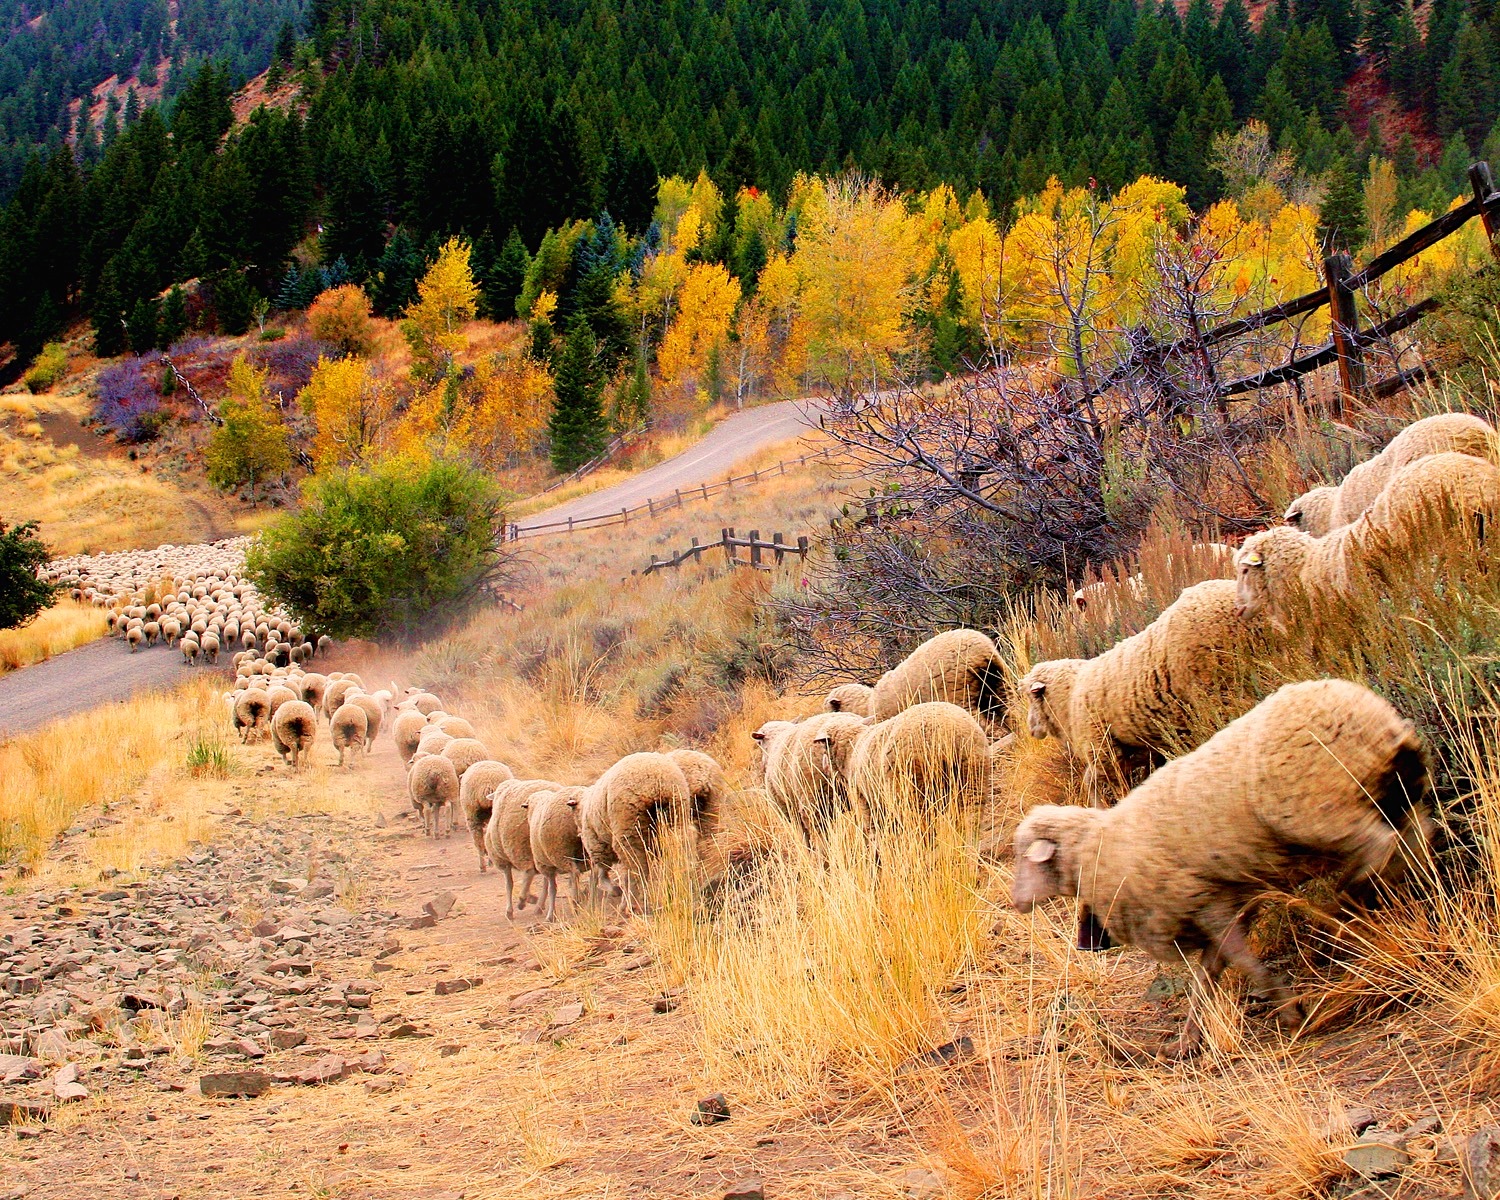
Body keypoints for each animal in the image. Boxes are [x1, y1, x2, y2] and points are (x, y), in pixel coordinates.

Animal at [524, 786, 589, 921]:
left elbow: (552, 889)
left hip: (561, 852)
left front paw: (550, 914)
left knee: (575, 873)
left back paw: (575, 903)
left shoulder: (546, 866)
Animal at [578, 753, 692, 912]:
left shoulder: (597, 844)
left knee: (637, 869)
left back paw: (632, 906)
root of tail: (656, 784)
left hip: (629, 829)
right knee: (679, 852)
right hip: (676, 815)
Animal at [1011, 678, 1431, 1058]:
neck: (1102, 845)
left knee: (1383, 849)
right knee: (1417, 835)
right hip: (1390, 793)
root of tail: (1369, 715)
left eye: (1025, 858)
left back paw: (1353, 900)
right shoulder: (1221, 905)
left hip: (1326, 814)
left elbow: (1241, 962)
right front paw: (1189, 1040)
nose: (1016, 902)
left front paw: (1291, 1011)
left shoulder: (1204, 905)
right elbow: (1207, 977)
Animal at [1021, 579, 1260, 795]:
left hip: (1216, 688)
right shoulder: (1141, 748)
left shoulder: (1104, 751)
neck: (1070, 695)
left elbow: (1097, 782)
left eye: (1032, 697)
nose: (1032, 729)